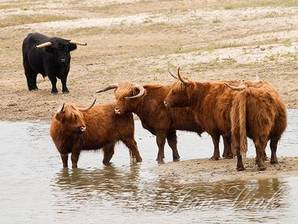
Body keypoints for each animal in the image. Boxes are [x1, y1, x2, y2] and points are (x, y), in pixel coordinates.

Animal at [98, 81, 233, 164]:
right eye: (116, 96)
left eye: (127, 96)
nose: (117, 110)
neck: (148, 100)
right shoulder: (170, 129)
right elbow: (172, 143)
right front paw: (176, 157)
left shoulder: (161, 129)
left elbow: (160, 143)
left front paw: (159, 159)